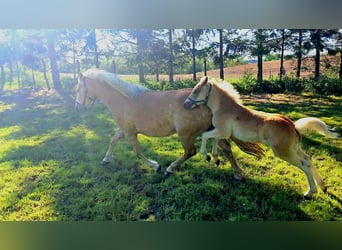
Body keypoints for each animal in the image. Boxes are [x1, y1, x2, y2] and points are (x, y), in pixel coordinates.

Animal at [75, 69, 264, 177]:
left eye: (78, 88)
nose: (78, 107)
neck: (124, 99)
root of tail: (206, 102)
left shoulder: (130, 132)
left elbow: (137, 152)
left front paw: (156, 166)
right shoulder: (125, 129)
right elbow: (113, 140)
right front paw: (106, 159)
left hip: (185, 134)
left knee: (191, 152)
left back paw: (171, 168)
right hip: (214, 130)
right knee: (226, 148)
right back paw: (237, 173)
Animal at [184, 76, 336, 199]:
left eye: (196, 91)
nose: (185, 105)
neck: (223, 108)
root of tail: (293, 125)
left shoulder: (221, 131)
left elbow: (205, 136)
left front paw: (206, 156)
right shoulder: (222, 132)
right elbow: (214, 140)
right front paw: (215, 158)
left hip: (283, 152)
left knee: (304, 164)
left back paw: (310, 193)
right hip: (294, 149)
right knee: (308, 160)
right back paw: (323, 187)